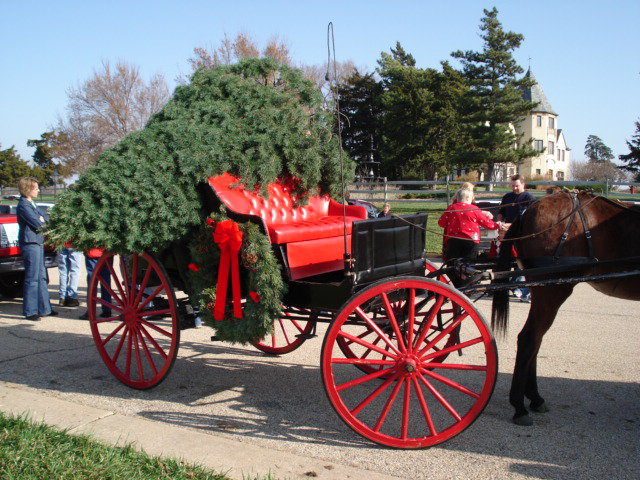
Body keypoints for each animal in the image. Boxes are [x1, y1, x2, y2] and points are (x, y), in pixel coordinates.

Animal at [490, 189, 640, 426]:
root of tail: (526, 211)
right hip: (554, 289)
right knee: (530, 338)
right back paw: (520, 406)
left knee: (535, 339)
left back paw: (534, 398)